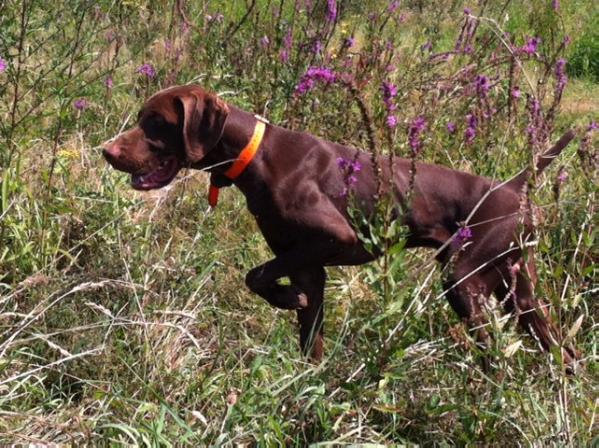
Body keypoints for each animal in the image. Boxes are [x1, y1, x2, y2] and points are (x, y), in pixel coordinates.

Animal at [104, 84, 580, 372]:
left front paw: (285, 299)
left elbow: (255, 275)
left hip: (464, 279)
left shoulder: (333, 239)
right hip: (517, 289)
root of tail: (515, 186)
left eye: (156, 122)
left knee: (497, 355)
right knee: (563, 347)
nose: (107, 151)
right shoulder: (307, 268)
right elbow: (305, 336)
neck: (256, 156)